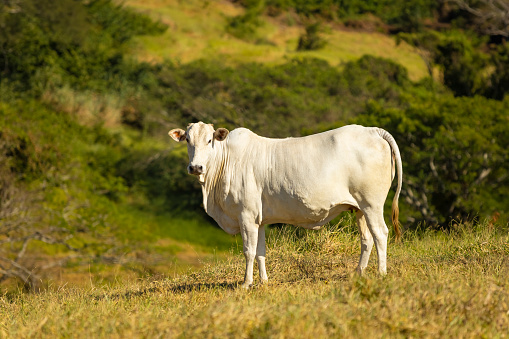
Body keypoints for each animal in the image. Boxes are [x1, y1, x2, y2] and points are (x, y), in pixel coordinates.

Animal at [170, 121, 400, 286]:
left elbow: (249, 251)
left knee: (380, 234)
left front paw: (246, 283)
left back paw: (381, 273)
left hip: (372, 204)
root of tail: (372, 131)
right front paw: (263, 281)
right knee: (366, 239)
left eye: (209, 140)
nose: (196, 167)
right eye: (187, 140)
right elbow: (261, 251)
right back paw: (358, 273)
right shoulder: (259, 220)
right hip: (359, 209)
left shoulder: (246, 216)